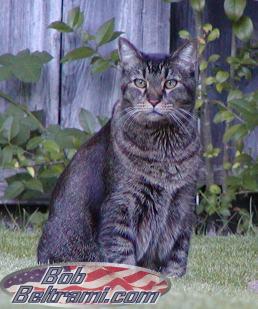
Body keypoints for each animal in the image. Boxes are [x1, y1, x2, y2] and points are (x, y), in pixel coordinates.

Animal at [36, 37, 202, 276]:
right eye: (140, 82)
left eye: (171, 83)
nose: (153, 100)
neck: (165, 149)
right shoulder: (120, 205)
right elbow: (122, 254)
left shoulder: (184, 204)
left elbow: (178, 253)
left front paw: (174, 278)